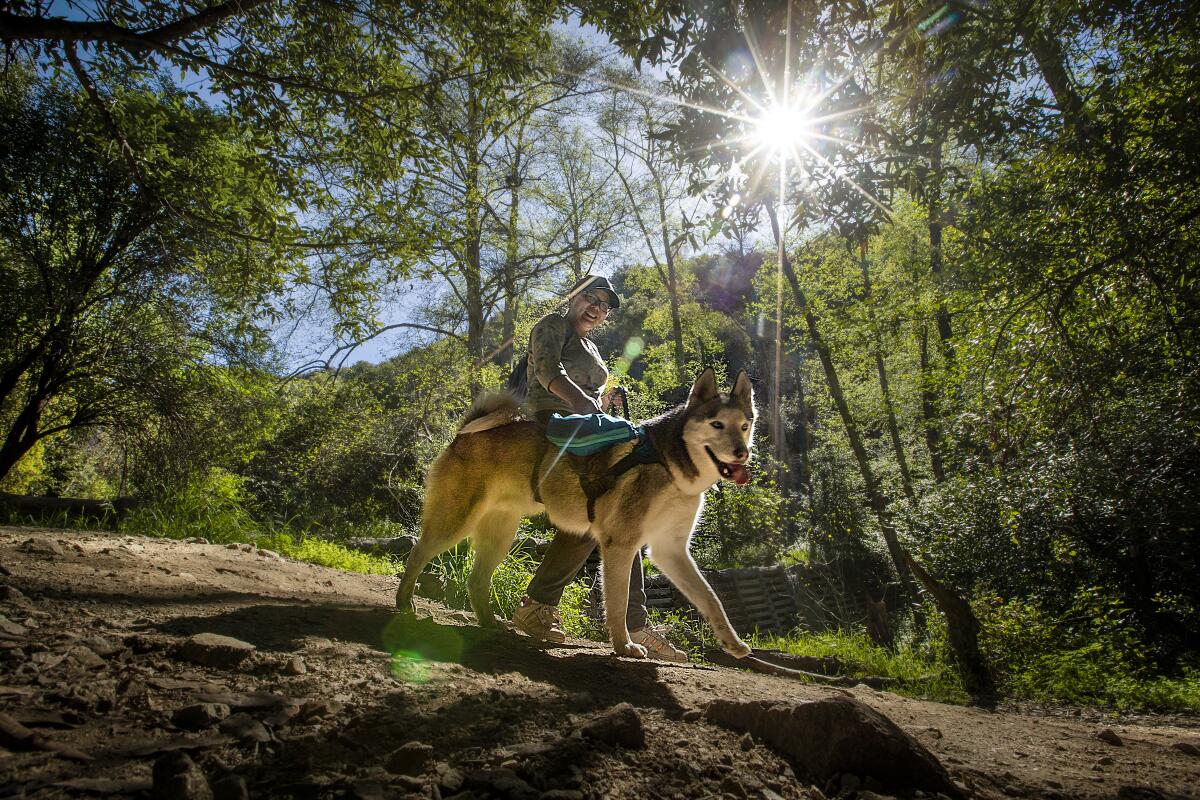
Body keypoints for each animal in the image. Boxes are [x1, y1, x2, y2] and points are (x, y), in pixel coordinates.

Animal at [398, 369, 753, 662]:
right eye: (717, 424)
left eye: (744, 426)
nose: (742, 452)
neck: (665, 461)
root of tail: (464, 433)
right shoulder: (620, 544)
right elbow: (618, 603)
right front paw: (623, 646)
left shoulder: (669, 550)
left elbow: (711, 599)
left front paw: (732, 643)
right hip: (454, 523)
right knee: (416, 554)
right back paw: (404, 604)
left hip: (499, 537)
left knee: (475, 581)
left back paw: (488, 623)